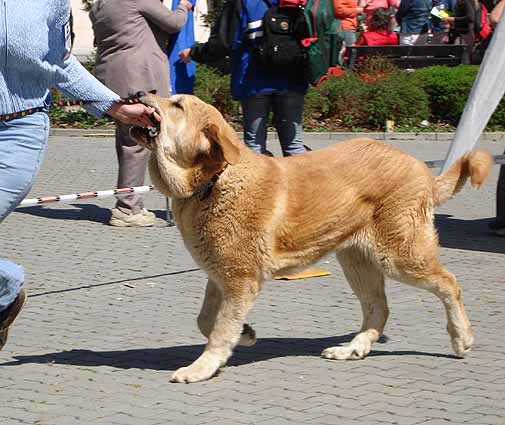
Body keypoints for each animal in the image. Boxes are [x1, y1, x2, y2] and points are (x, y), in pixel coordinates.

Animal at [131, 93, 492, 384]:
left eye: (177, 105)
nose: (140, 93)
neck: (214, 180)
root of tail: (422, 169)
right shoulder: (221, 277)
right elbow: (207, 320)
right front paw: (245, 334)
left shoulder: (239, 279)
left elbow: (219, 329)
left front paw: (202, 367)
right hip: (358, 263)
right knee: (379, 308)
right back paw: (353, 349)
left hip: (399, 257)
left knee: (449, 283)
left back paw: (461, 337)